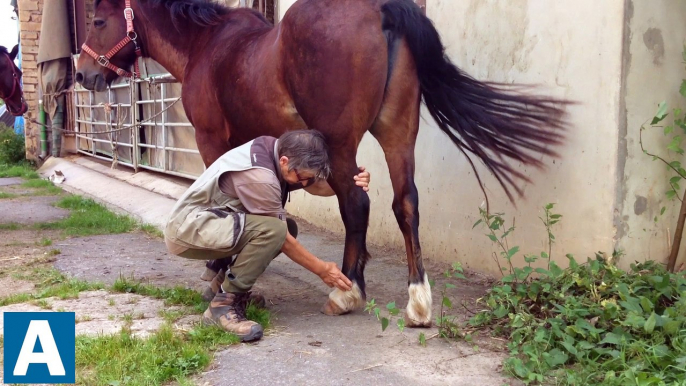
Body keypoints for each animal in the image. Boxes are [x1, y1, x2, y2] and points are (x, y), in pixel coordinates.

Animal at [76, 0, 568, 328]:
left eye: (97, 21)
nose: (83, 74)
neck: (208, 44)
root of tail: (382, 9)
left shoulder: (212, 141)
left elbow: (229, 204)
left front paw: (217, 273)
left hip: (342, 141)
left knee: (357, 205)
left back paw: (346, 290)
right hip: (397, 134)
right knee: (405, 204)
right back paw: (417, 301)